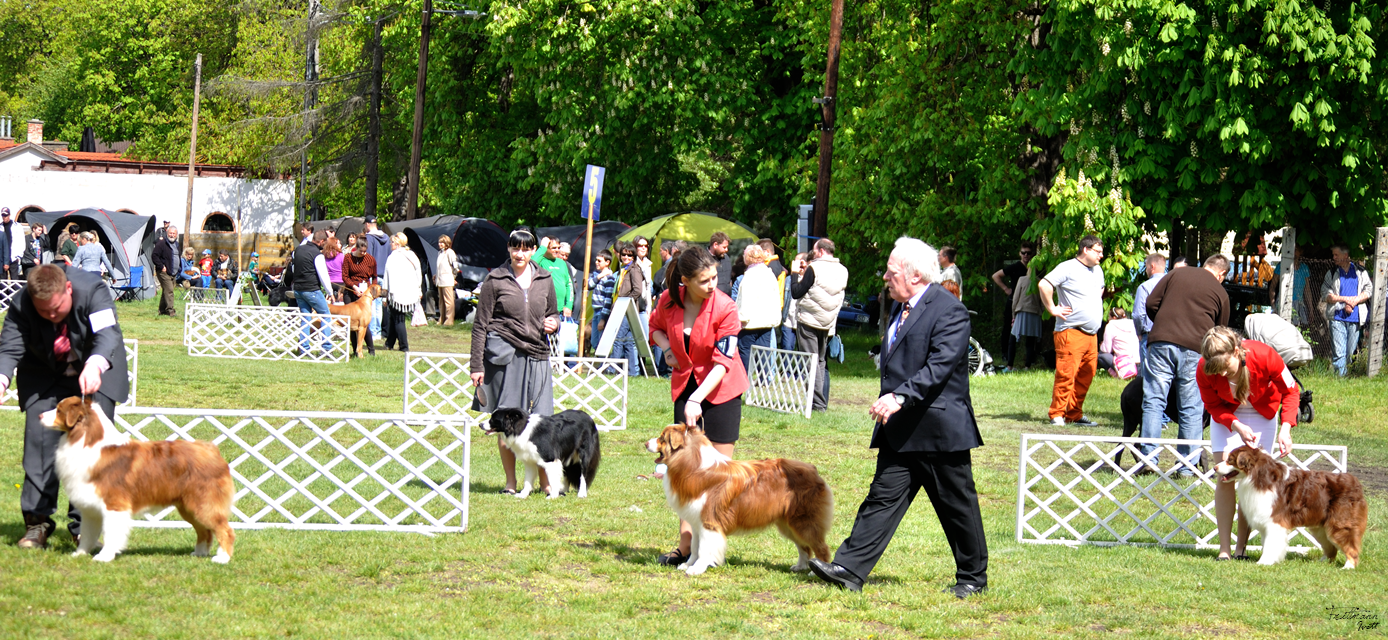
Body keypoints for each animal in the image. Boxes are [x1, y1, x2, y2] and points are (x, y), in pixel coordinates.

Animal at [39, 397, 235, 560]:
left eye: (58, 410)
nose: (40, 414)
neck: (85, 440)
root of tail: (212, 450)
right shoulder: (89, 508)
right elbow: (87, 534)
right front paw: (79, 554)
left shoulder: (114, 504)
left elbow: (110, 533)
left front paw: (104, 557)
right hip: (188, 507)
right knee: (205, 532)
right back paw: (199, 553)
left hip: (204, 504)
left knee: (225, 530)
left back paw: (222, 558)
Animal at [644, 424, 827, 574]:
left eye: (662, 438)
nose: (645, 443)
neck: (694, 465)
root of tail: (812, 469)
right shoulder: (696, 522)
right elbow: (695, 547)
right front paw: (688, 564)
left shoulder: (709, 522)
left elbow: (703, 549)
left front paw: (697, 568)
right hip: (787, 524)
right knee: (804, 547)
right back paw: (800, 566)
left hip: (804, 522)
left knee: (820, 546)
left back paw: (816, 571)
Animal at [1215, 447, 1365, 566]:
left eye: (1230, 459)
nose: (1214, 467)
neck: (1257, 476)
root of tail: (1356, 483)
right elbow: (1267, 543)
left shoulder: (1275, 522)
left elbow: (1270, 544)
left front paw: (1264, 562)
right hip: (1320, 529)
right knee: (1331, 548)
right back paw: (1322, 562)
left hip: (1339, 524)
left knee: (1350, 546)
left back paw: (1348, 566)